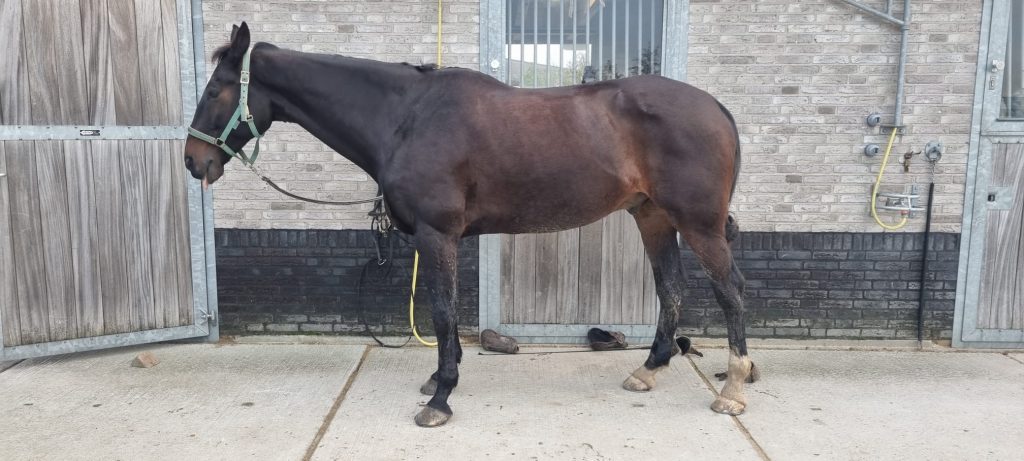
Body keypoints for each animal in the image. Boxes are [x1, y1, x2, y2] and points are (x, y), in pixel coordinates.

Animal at [184, 22, 755, 427]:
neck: (407, 117)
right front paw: (439, 377)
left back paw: (732, 390)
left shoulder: (438, 235)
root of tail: (717, 107)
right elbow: (445, 311)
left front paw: (440, 398)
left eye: (214, 90)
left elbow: (440, 313)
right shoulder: (439, 239)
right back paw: (648, 371)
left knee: (730, 291)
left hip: (697, 224)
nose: (194, 161)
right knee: (671, 288)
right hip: (653, 217)